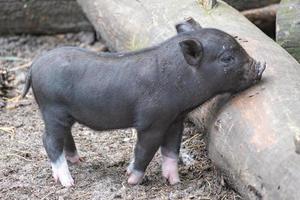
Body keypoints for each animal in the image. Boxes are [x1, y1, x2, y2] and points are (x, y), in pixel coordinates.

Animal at [21, 18, 264, 187]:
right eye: (226, 58)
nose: (261, 66)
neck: (179, 77)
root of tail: (34, 66)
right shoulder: (151, 122)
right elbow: (145, 150)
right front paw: (131, 180)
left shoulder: (175, 120)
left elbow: (171, 150)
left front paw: (174, 182)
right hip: (52, 109)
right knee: (49, 140)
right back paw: (68, 182)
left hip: (65, 114)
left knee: (65, 136)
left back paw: (77, 160)